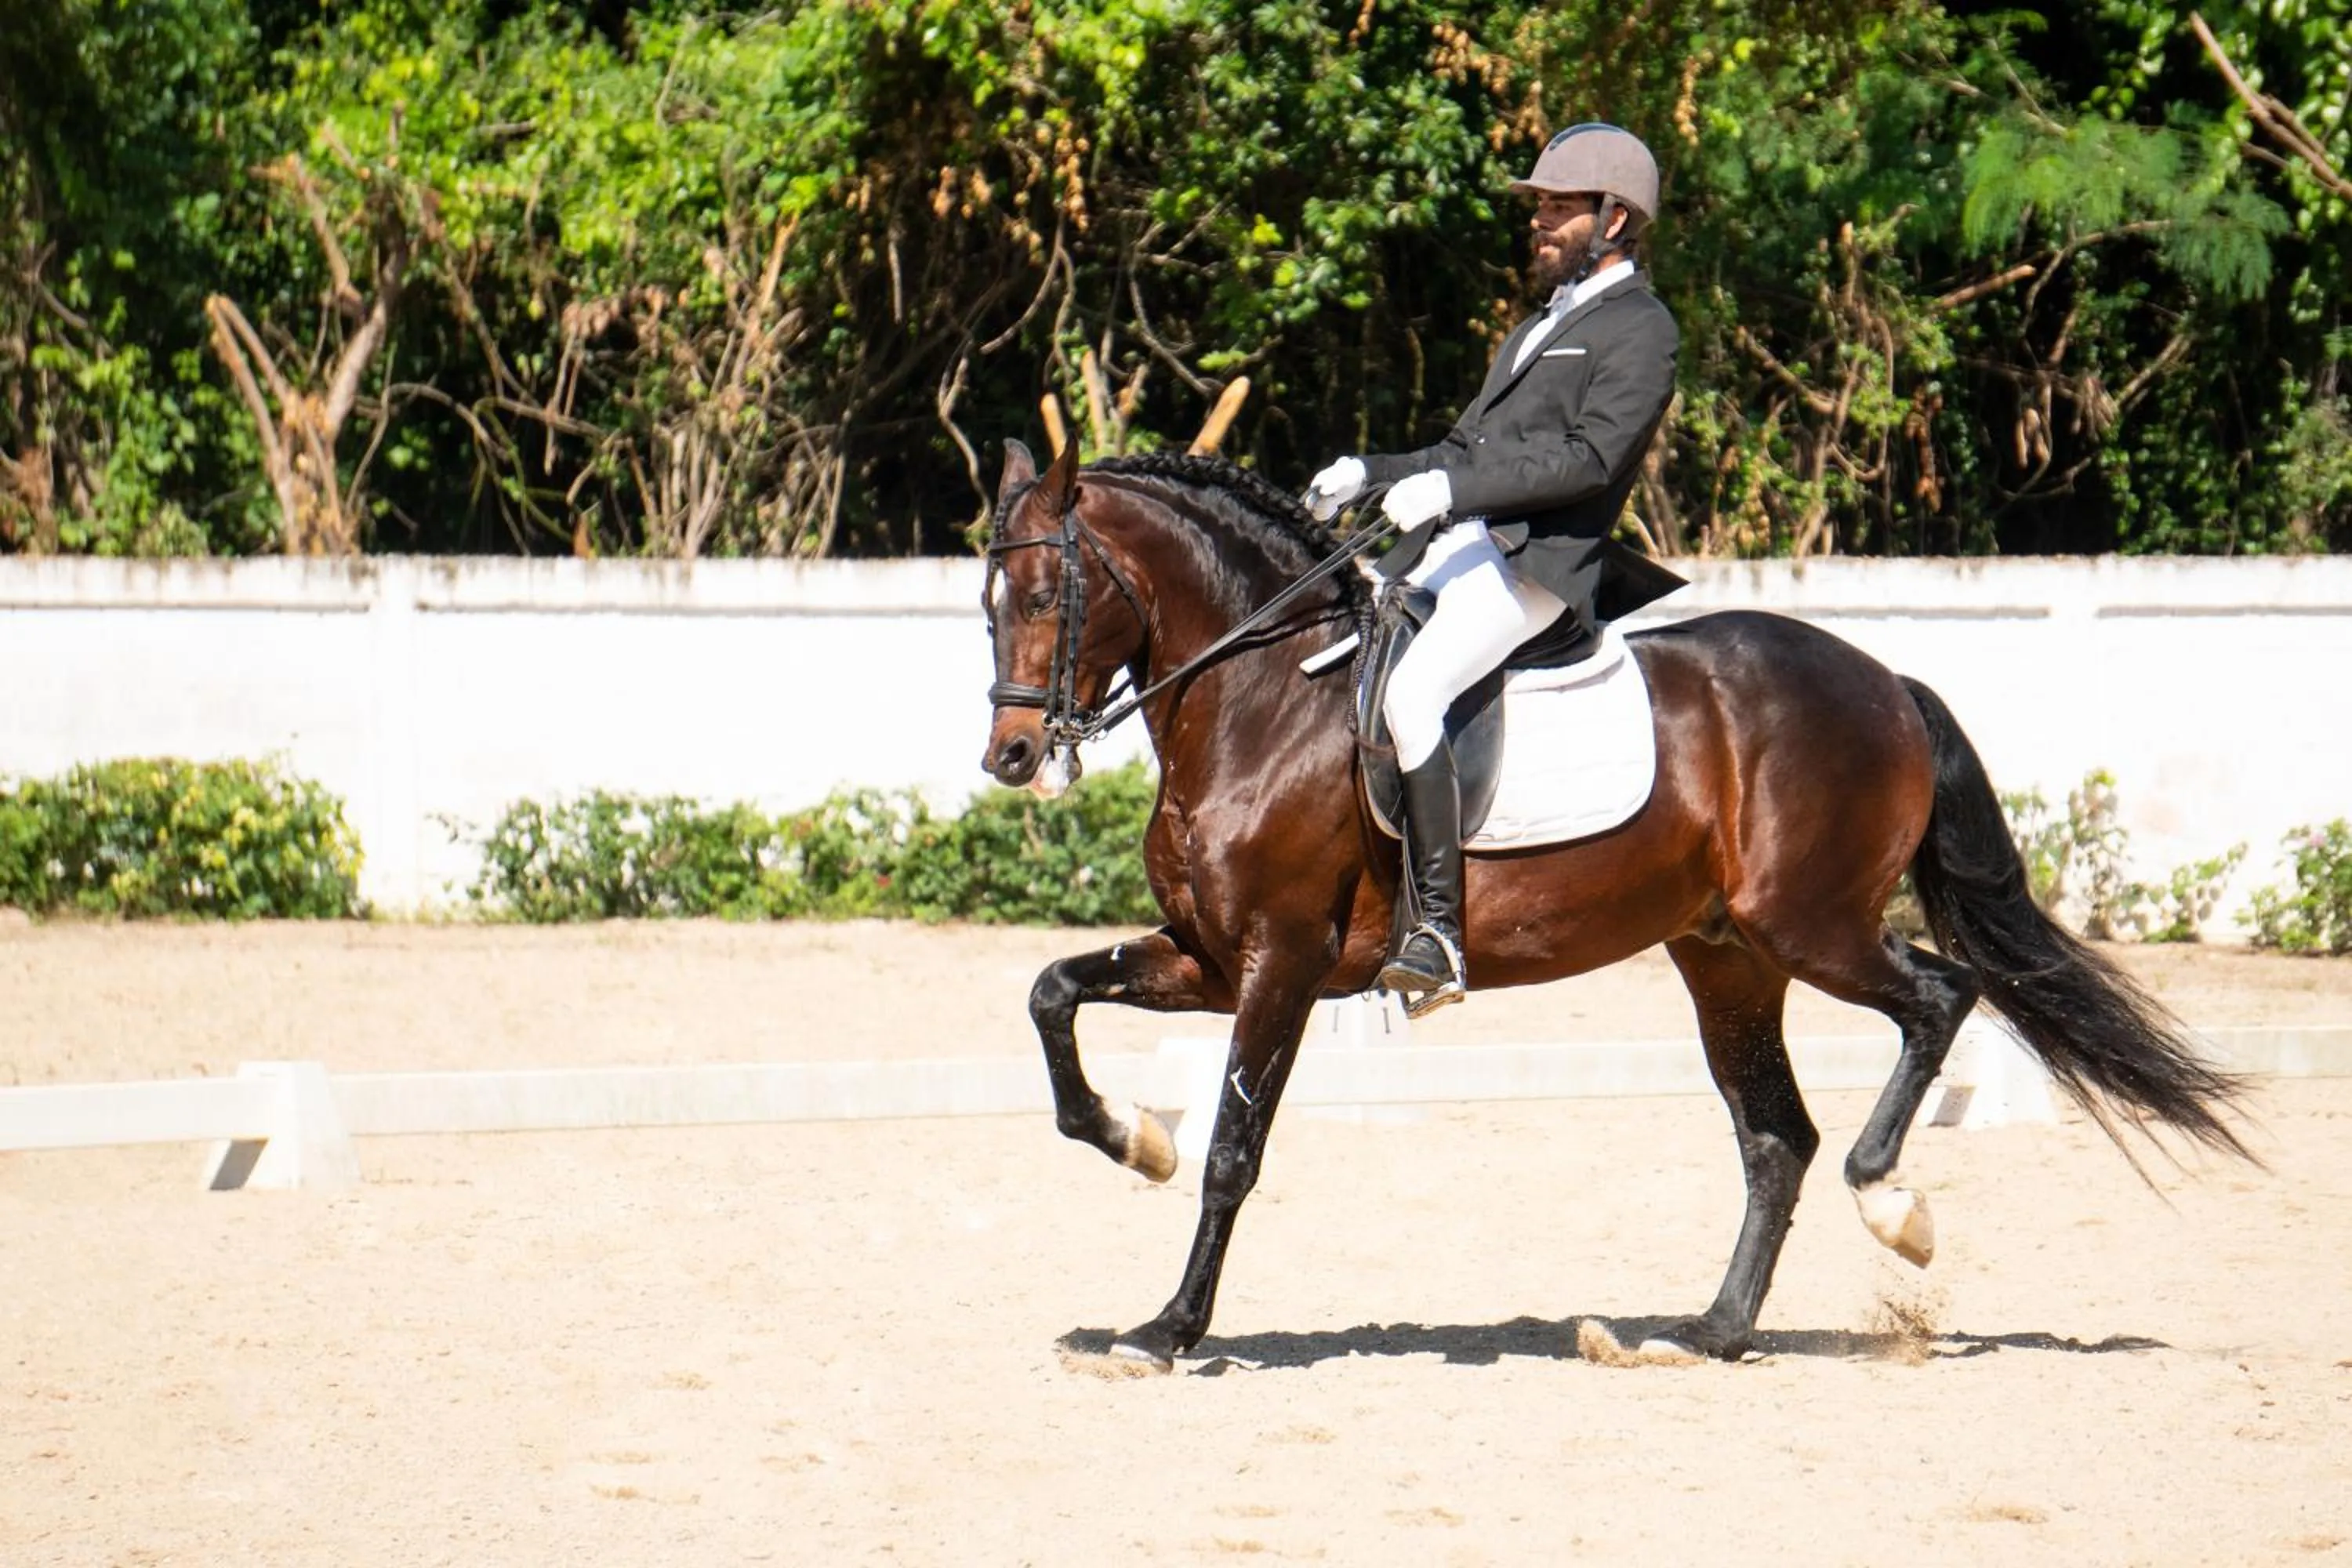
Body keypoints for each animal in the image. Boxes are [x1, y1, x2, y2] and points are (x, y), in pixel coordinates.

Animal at [978, 437, 2251, 1372]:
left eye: (1045, 594)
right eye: (988, 603)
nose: (1012, 755)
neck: (1258, 699)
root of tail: (1888, 680)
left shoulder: (1282, 962)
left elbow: (1234, 1151)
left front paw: (1167, 1329)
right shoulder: (1208, 954)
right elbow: (1051, 994)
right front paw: (1130, 1137)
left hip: (1812, 924)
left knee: (1943, 997)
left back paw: (1892, 1202)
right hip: (1727, 956)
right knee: (1777, 1136)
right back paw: (1705, 1333)